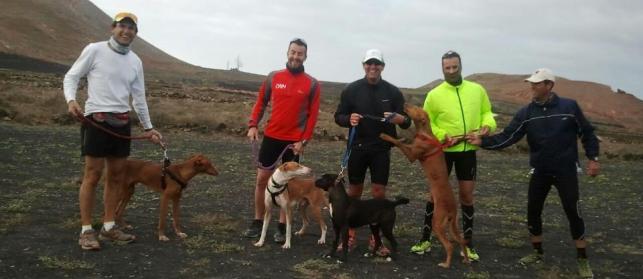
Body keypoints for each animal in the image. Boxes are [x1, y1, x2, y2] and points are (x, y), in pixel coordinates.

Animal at [380, 105, 470, 270]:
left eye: (416, 109)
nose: (405, 104)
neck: (425, 134)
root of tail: (452, 208)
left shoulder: (412, 156)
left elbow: (398, 143)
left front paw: (385, 136)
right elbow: (402, 141)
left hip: (437, 223)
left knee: (449, 245)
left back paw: (446, 264)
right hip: (452, 225)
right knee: (461, 241)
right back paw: (466, 259)